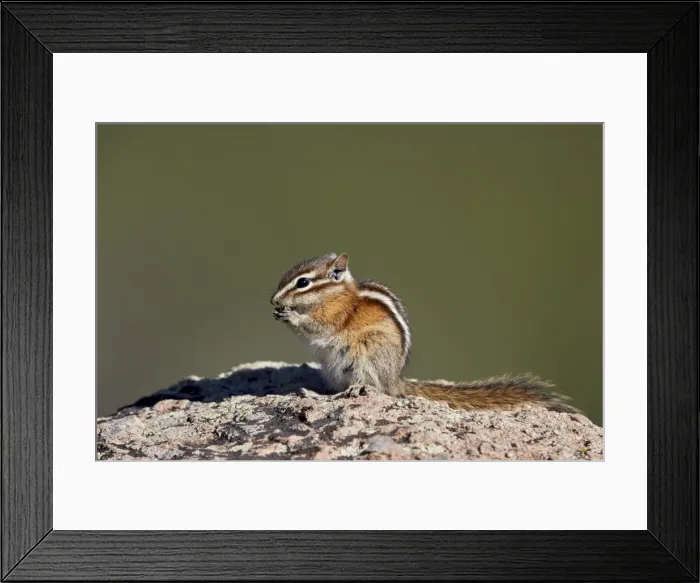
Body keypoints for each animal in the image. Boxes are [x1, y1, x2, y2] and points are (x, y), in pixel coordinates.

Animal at [270, 252, 579, 413]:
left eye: (303, 282)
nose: (273, 301)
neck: (336, 294)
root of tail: (396, 381)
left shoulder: (335, 316)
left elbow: (317, 327)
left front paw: (291, 316)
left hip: (365, 353)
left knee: (374, 389)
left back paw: (348, 390)